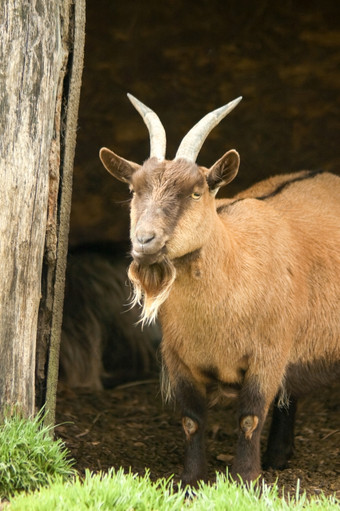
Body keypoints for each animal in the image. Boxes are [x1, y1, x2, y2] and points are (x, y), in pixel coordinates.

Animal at [98, 95, 340, 488]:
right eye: (133, 190)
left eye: (196, 192)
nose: (145, 241)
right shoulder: (179, 359)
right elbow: (192, 421)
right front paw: (190, 480)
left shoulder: (267, 355)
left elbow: (250, 418)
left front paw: (246, 479)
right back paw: (278, 457)